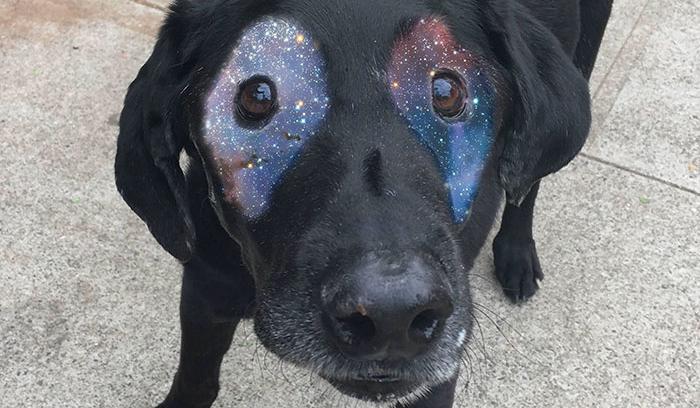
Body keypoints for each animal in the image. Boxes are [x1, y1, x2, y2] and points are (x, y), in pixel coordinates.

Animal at [115, 0, 612, 406]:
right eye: (256, 95)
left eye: (447, 91)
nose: (392, 313)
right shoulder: (204, 289)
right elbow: (196, 380)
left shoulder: (434, 380)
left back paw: (516, 250)